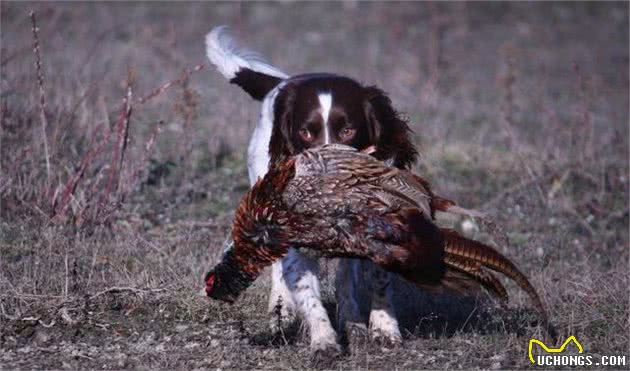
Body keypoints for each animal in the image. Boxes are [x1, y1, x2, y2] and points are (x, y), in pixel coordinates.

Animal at [205, 26, 418, 354]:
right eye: (305, 132)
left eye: (348, 130)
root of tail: (282, 83)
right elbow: (307, 290)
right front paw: (323, 340)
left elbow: (377, 278)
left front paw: (383, 328)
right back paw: (281, 310)